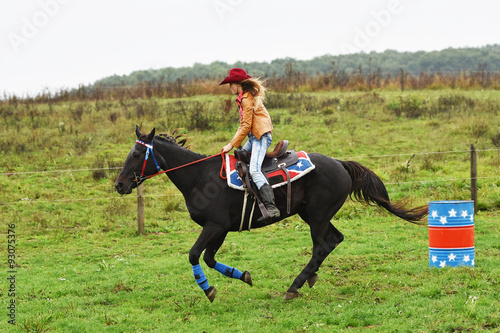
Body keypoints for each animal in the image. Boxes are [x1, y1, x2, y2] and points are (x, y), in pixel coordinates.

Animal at [115, 126, 428, 300]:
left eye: (136, 155)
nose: (119, 184)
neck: (199, 176)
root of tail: (340, 163)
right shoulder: (221, 228)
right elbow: (210, 258)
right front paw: (242, 276)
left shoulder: (214, 226)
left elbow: (194, 255)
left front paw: (208, 290)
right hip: (315, 216)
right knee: (332, 241)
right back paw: (309, 278)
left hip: (317, 217)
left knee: (322, 245)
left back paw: (295, 285)